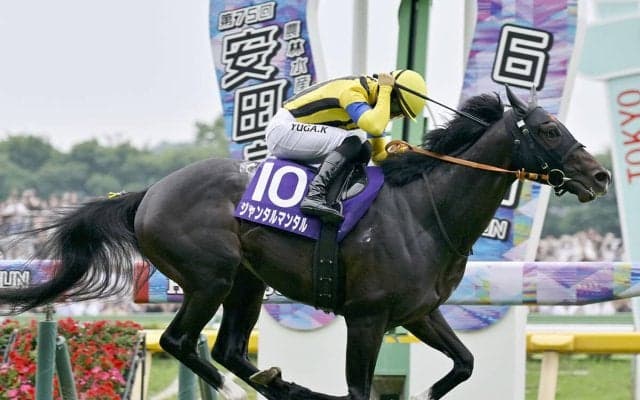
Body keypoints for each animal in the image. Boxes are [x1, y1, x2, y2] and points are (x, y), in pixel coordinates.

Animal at [0, 86, 610, 400]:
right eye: (549, 129)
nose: (601, 177)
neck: (425, 213)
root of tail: (148, 192)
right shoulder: (367, 316)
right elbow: (360, 390)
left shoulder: (418, 313)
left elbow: (463, 363)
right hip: (211, 278)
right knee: (181, 342)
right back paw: (242, 388)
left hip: (247, 283)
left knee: (226, 348)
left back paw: (279, 384)